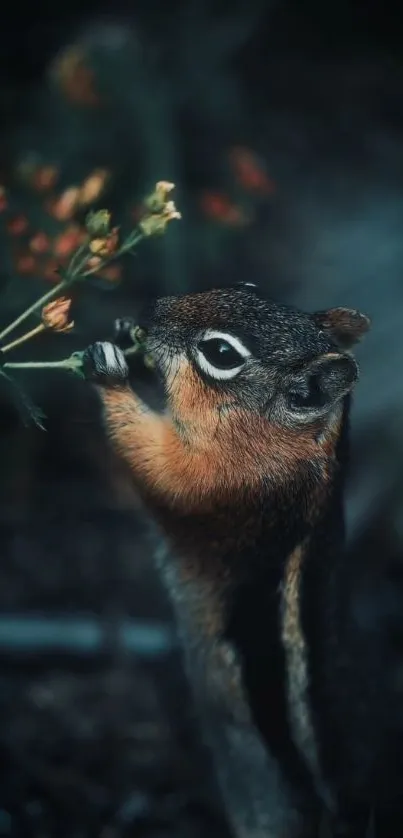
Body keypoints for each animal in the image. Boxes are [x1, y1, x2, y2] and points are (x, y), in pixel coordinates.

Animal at [83, 286, 372, 836]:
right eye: (247, 288)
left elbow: (162, 467)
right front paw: (125, 333)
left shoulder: (221, 480)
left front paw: (110, 372)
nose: (151, 309)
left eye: (220, 353)